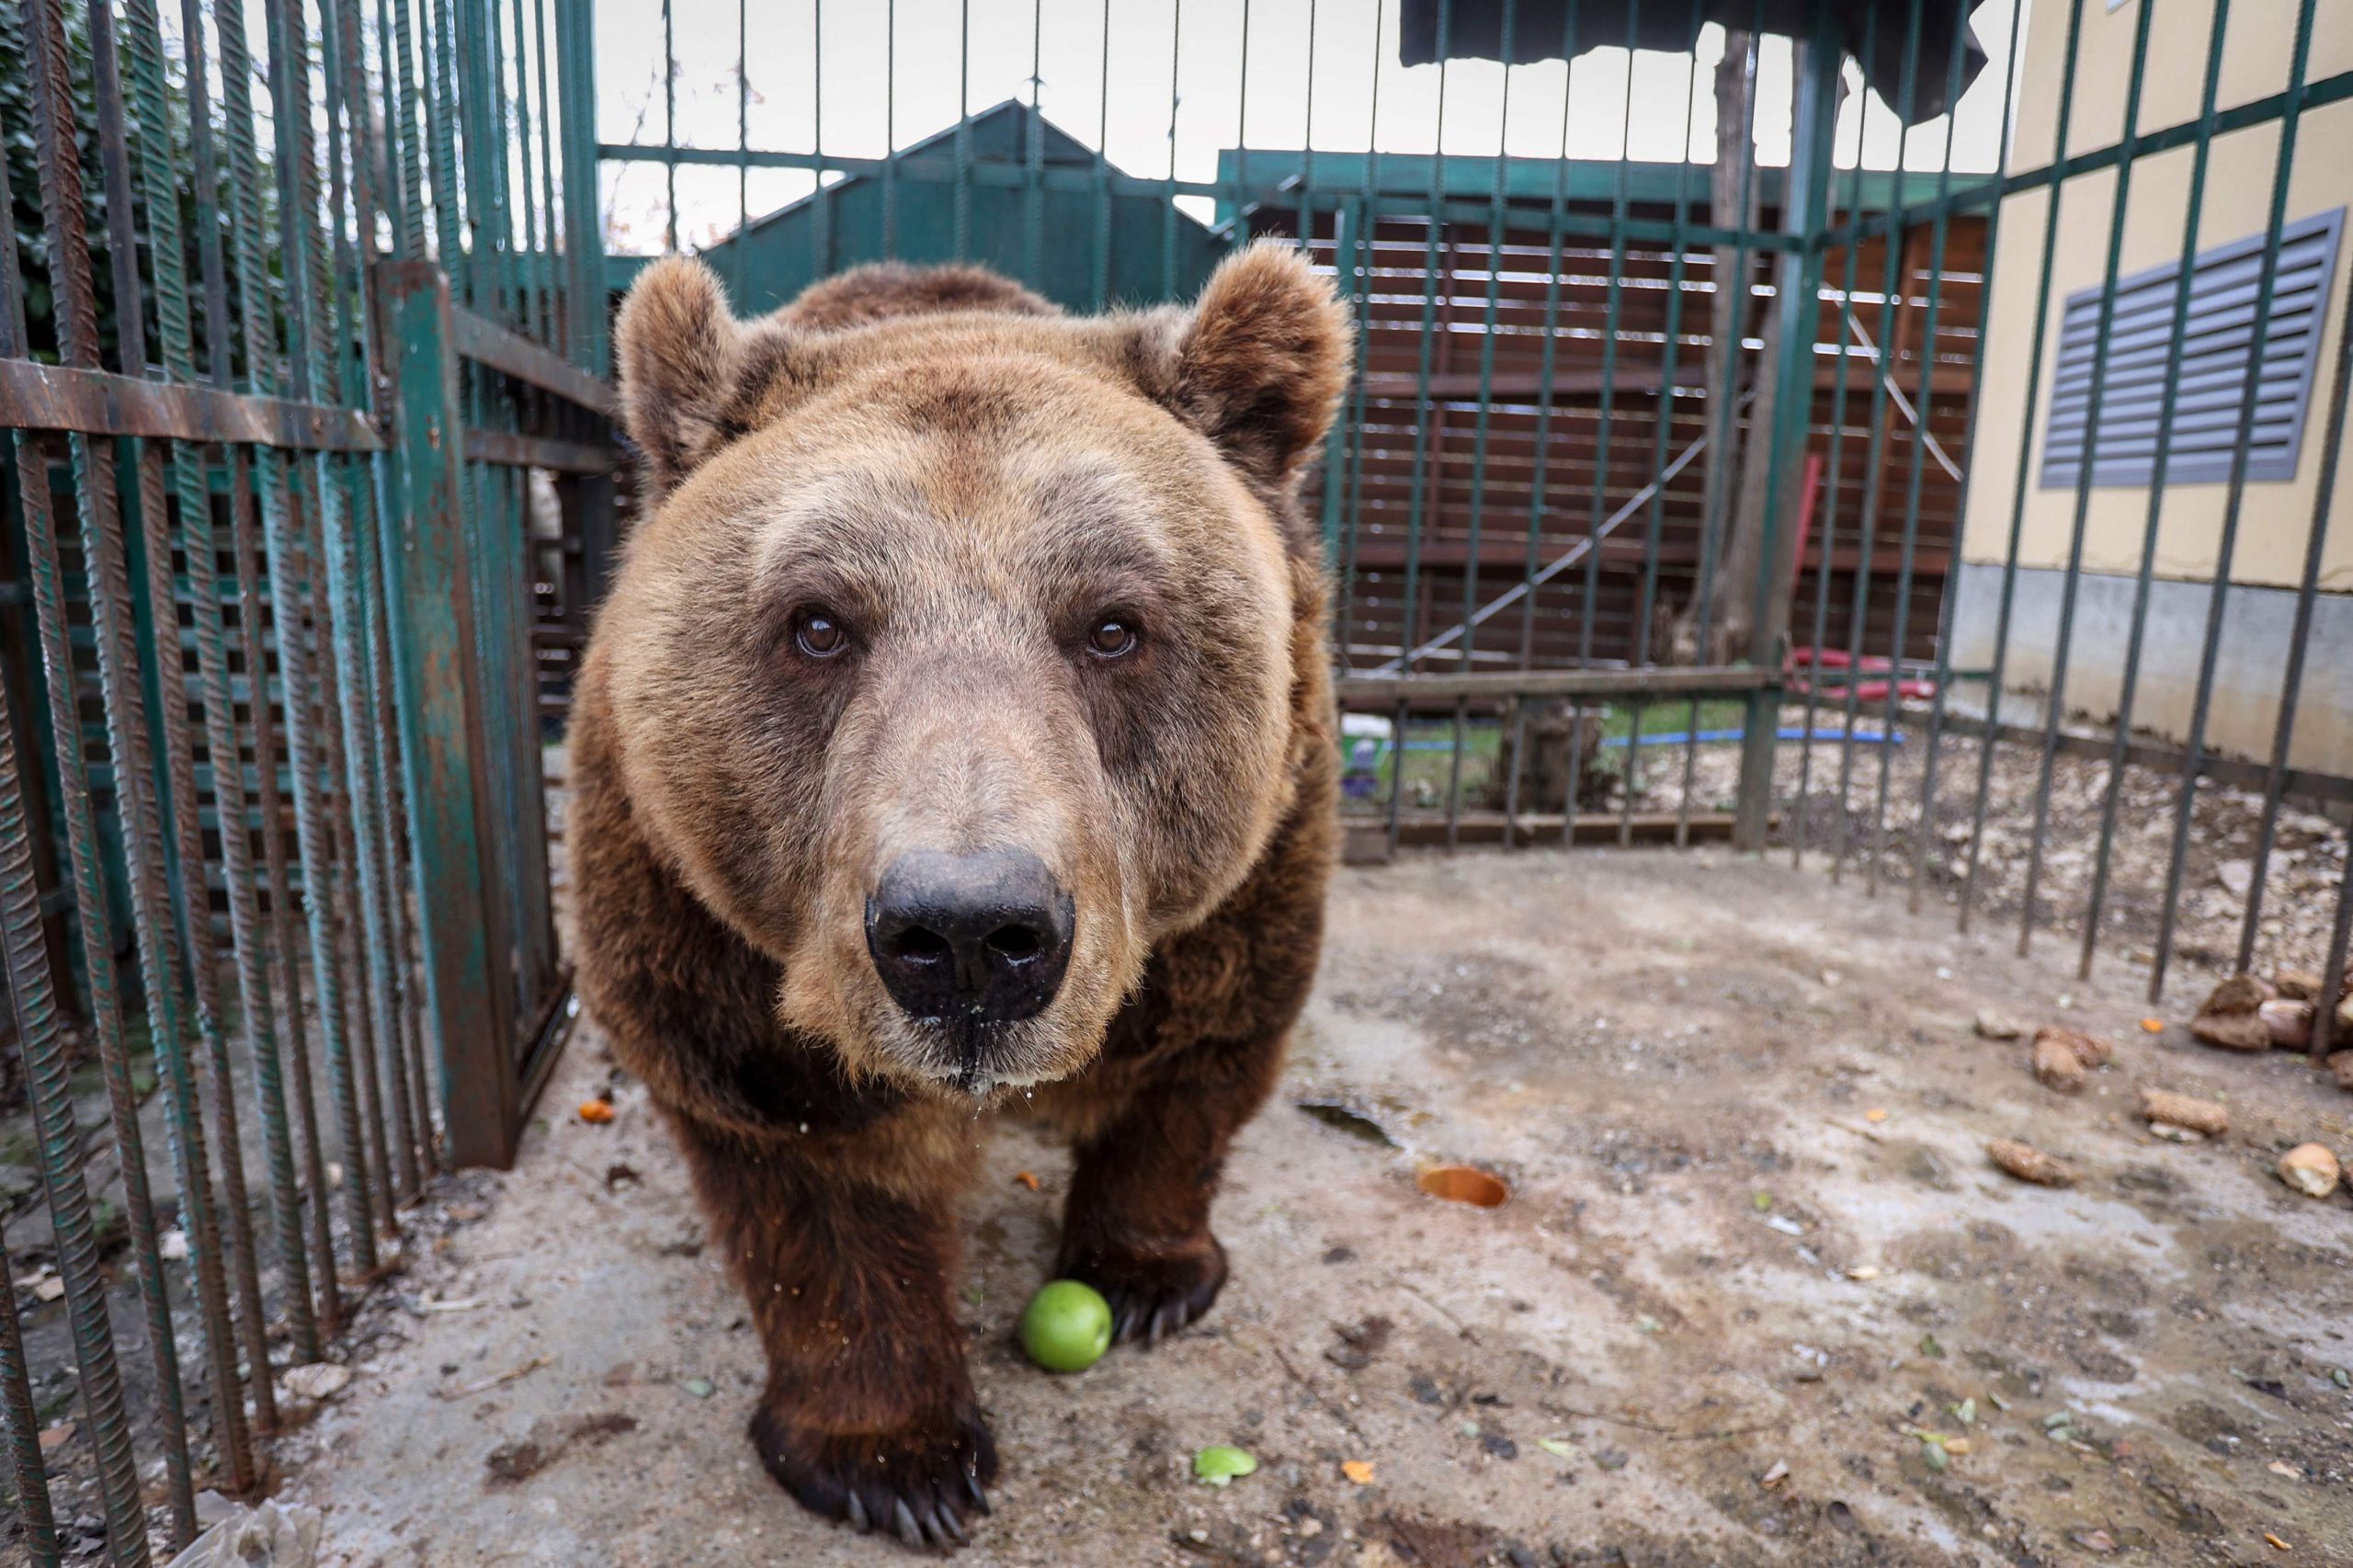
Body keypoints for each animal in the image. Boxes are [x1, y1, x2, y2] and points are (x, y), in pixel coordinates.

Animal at [562, 237, 1355, 1544]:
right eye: (817, 622)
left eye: (1115, 624)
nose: (973, 934)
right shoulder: (707, 935)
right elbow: (805, 1164)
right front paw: (894, 1455)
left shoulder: (1248, 872)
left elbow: (1203, 1053)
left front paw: (1146, 1273)